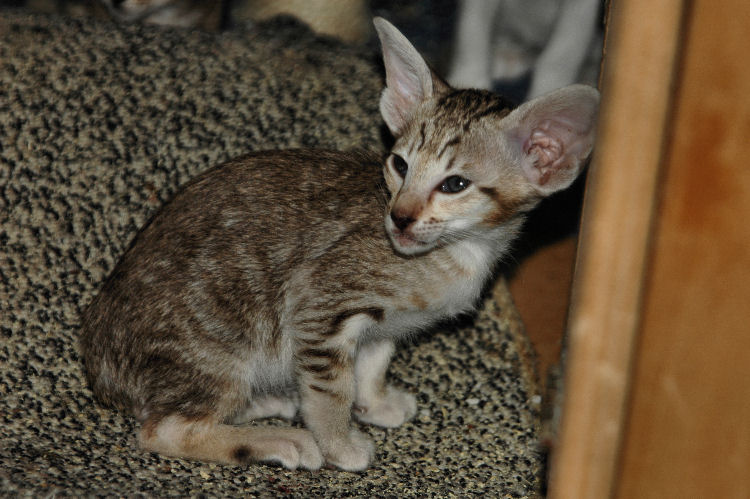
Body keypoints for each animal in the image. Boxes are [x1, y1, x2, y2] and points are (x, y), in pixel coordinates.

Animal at [80, 17, 599, 471]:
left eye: (454, 184)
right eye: (399, 165)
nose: (400, 216)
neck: (458, 253)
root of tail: (99, 365)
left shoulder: (380, 322)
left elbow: (372, 362)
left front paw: (374, 402)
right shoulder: (317, 302)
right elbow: (331, 390)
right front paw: (338, 443)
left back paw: (265, 404)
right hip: (218, 346)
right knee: (162, 428)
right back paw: (279, 440)